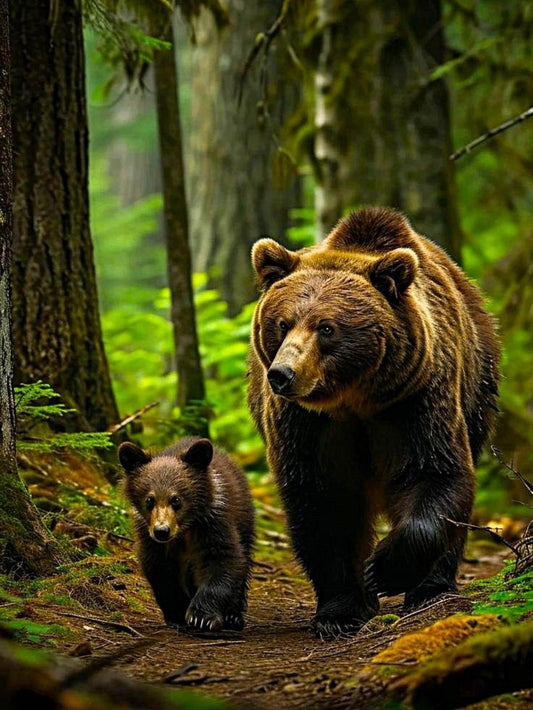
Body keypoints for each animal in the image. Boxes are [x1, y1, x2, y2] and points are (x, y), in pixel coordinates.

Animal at [118, 437, 255, 631]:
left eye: (176, 499)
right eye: (150, 500)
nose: (161, 531)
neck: (184, 530)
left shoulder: (213, 523)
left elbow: (223, 561)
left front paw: (202, 617)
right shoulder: (152, 541)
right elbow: (161, 573)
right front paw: (177, 614)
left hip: (244, 519)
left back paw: (234, 616)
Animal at [247, 206, 500, 640]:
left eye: (326, 327)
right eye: (282, 323)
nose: (283, 374)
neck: (352, 402)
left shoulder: (414, 400)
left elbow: (436, 473)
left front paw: (383, 570)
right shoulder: (306, 423)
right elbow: (323, 502)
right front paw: (342, 609)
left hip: (478, 380)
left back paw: (433, 588)